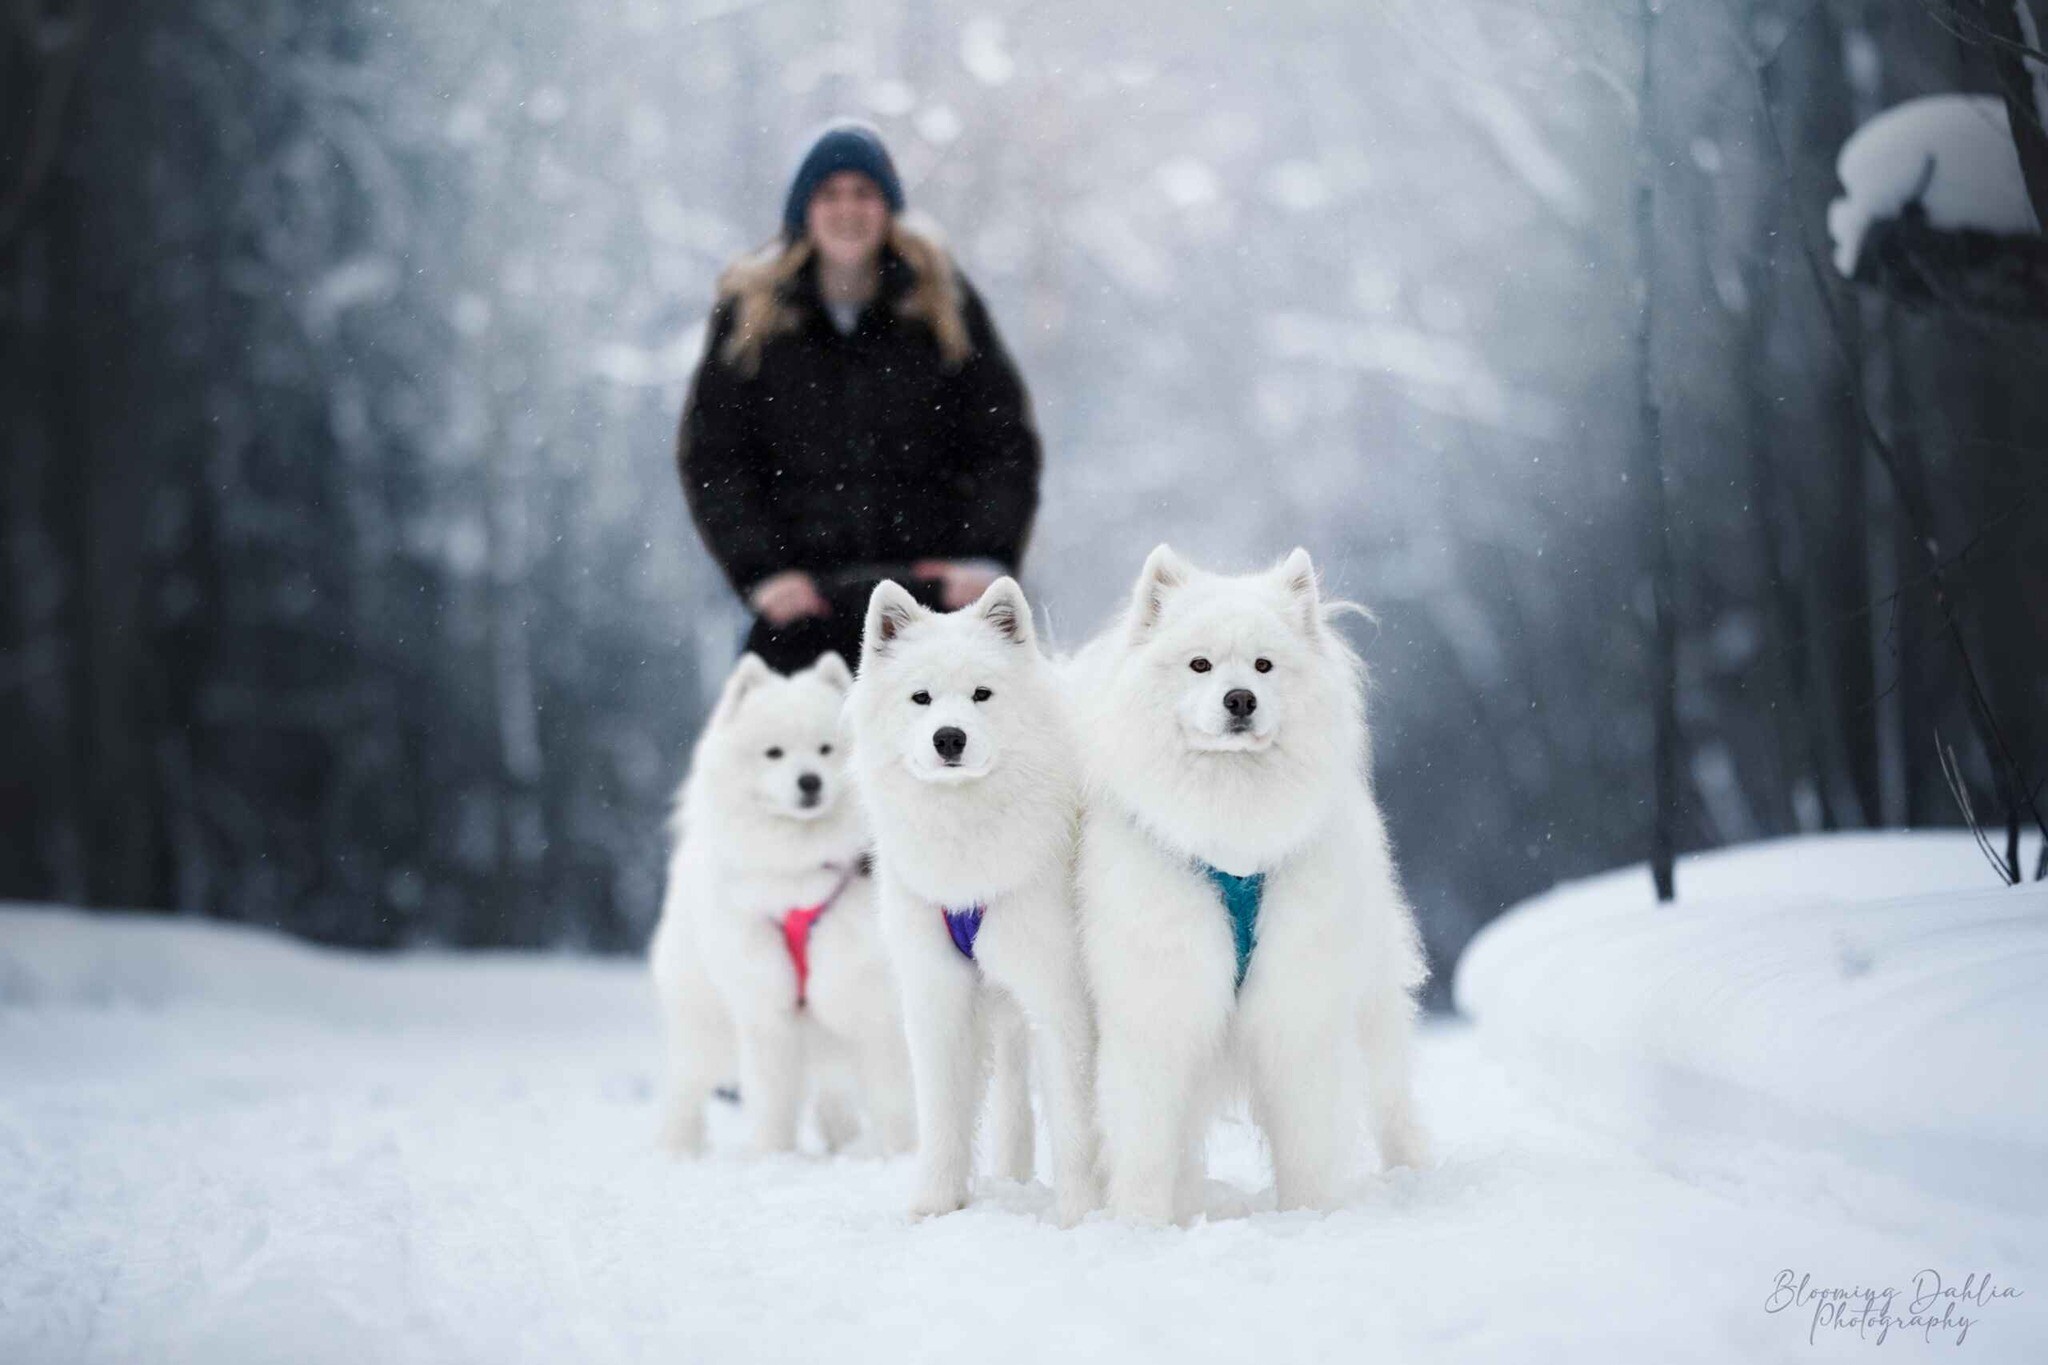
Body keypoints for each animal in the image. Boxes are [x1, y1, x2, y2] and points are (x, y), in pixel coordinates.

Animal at [651, 654, 917, 1162]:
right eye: (773, 753)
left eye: (826, 749)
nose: (809, 781)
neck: (801, 875)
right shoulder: (765, 1007)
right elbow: (772, 1096)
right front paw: (773, 1157)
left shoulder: (869, 1002)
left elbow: (892, 1096)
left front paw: (899, 1156)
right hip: (705, 1021)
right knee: (684, 1089)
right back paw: (678, 1150)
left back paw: (843, 1143)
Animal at [847, 577, 1105, 1227]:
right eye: (921, 698)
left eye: (981, 694)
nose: (949, 737)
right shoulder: (938, 990)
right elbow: (943, 1111)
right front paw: (935, 1205)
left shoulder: (1057, 992)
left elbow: (1073, 1118)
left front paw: (1080, 1215)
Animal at [1073, 548, 1425, 1219]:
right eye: (1200, 664)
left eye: (1264, 665)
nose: (1241, 699)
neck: (1233, 832)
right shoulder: (1157, 1005)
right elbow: (1145, 1142)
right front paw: (1139, 1224)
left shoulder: (1298, 1006)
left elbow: (1306, 1138)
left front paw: (1310, 1216)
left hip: (1373, 1008)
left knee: (1394, 1104)